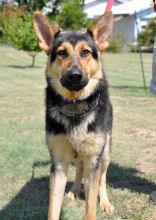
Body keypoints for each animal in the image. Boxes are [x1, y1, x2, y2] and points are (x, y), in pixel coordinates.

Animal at [33, 10, 113, 220]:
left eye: (85, 52)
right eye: (62, 53)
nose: (75, 76)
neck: (76, 105)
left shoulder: (94, 160)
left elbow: (91, 205)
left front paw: (97, 205)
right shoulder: (59, 164)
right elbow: (53, 208)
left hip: (105, 154)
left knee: (102, 178)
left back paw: (106, 202)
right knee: (79, 170)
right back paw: (75, 190)